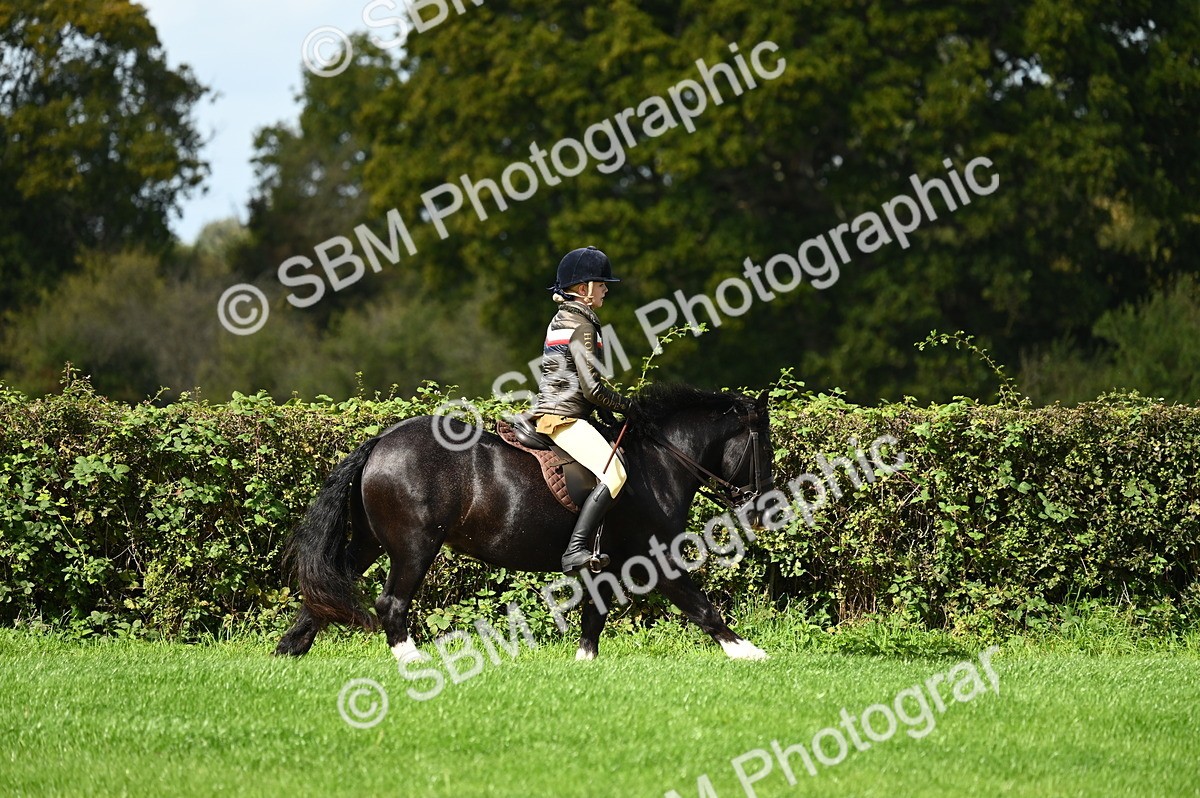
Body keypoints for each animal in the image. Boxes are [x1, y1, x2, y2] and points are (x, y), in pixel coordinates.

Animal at [274, 383, 775, 662]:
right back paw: (413, 662)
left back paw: (288, 650)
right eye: (764, 447)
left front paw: (583, 665)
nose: (763, 510)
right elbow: (701, 606)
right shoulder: (656, 556)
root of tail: (379, 441)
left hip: (370, 543)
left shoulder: (606, 564)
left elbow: (594, 618)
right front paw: (749, 652)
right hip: (414, 547)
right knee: (390, 604)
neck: (659, 461)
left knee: (328, 589)